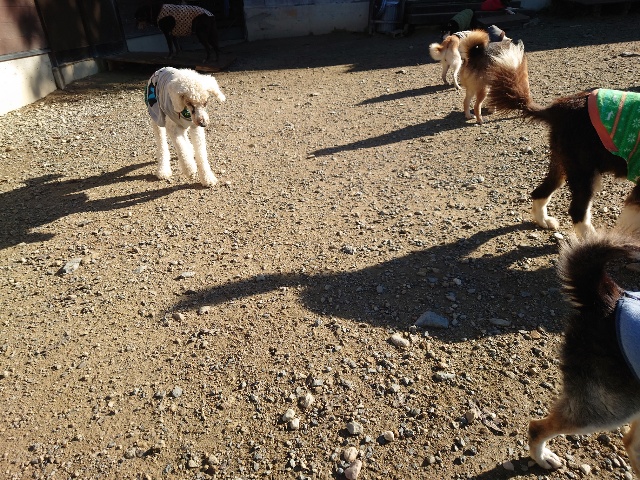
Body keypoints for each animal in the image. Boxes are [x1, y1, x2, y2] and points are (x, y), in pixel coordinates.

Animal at [487, 41, 640, 237]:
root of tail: (557, 108)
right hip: (584, 170)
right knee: (577, 211)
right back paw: (593, 239)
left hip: (562, 162)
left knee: (540, 192)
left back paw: (544, 221)